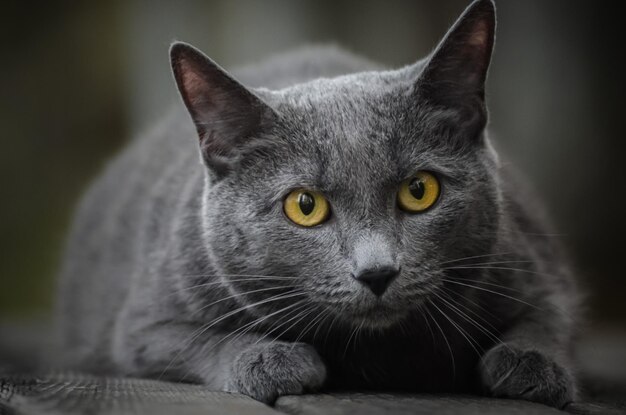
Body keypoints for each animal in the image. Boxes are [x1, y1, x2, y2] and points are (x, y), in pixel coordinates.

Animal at [56, 0, 576, 410]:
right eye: (305, 205)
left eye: (419, 190)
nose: (377, 272)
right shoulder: (143, 323)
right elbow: (194, 340)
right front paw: (270, 360)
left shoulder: (533, 265)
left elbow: (550, 318)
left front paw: (530, 364)